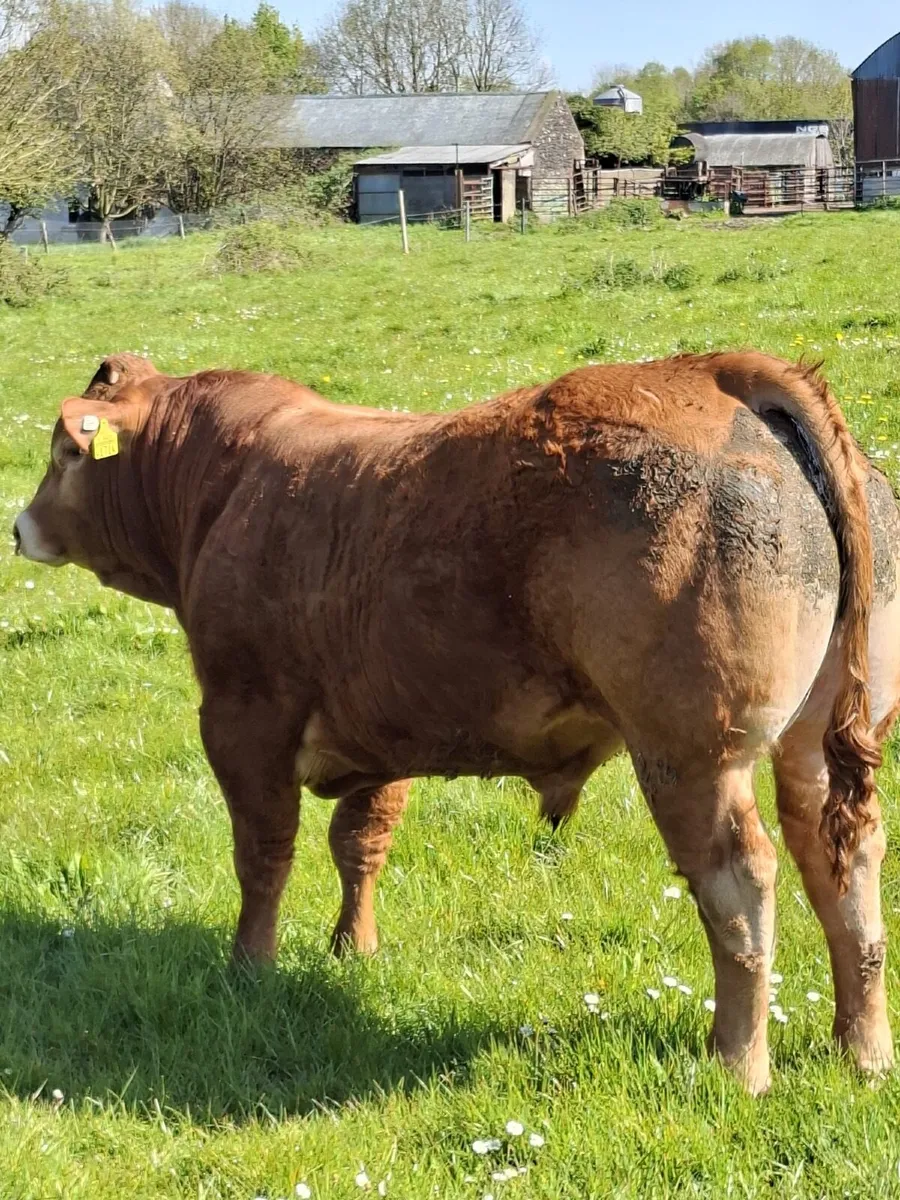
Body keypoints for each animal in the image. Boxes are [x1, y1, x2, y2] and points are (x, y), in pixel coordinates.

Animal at [13, 350, 900, 1095]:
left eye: (62, 453)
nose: (19, 528)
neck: (224, 482)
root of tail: (715, 373)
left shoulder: (243, 719)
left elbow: (264, 856)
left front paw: (249, 968)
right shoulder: (380, 726)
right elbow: (360, 841)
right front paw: (353, 947)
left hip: (693, 757)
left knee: (740, 885)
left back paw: (736, 1064)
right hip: (813, 748)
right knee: (842, 863)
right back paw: (860, 1049)